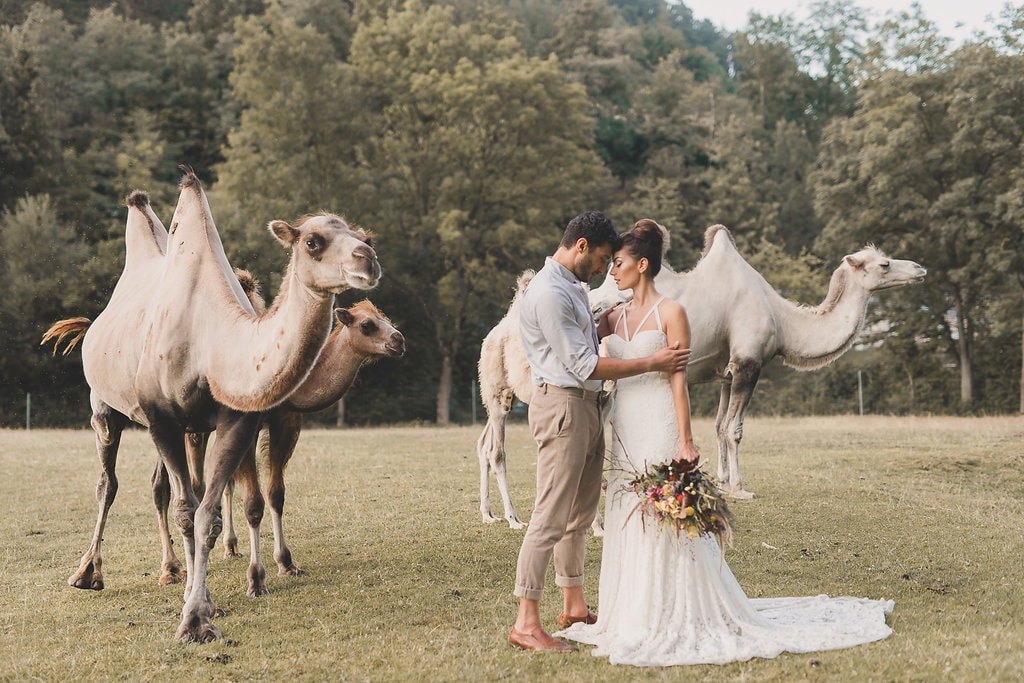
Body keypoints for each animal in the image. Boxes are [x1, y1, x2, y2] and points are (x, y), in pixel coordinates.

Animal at [44, 172, 381, 643]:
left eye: (364, 237)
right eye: (313, 241)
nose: (369, 260)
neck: (212, 341)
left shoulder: (234, 420)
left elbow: (208, 513)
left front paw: (200, 612)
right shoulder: (162, 418)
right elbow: (187, 511)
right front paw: (195, 612)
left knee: (167, 487)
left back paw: (173, 571)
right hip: (105, 409)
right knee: (108, 483)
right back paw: (88, 572)